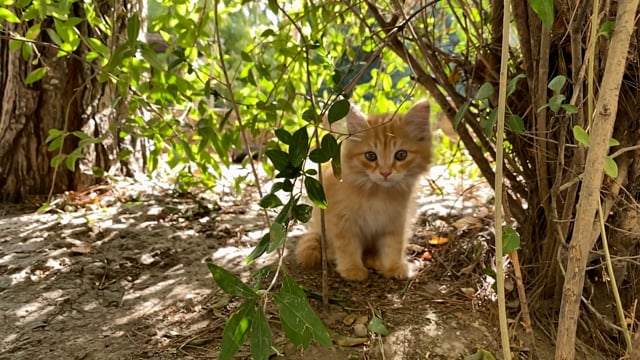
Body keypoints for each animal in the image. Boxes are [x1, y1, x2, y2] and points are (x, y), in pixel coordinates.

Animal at [298, 101, 432, 282]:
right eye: (370, 156)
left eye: (401, 155)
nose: (385, 173)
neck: (377, 193)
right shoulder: (342, 220)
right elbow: (347, 246)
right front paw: (352, 268)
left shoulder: (396, 220)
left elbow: (394, 244)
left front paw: (394, 266)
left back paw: (375, 259)